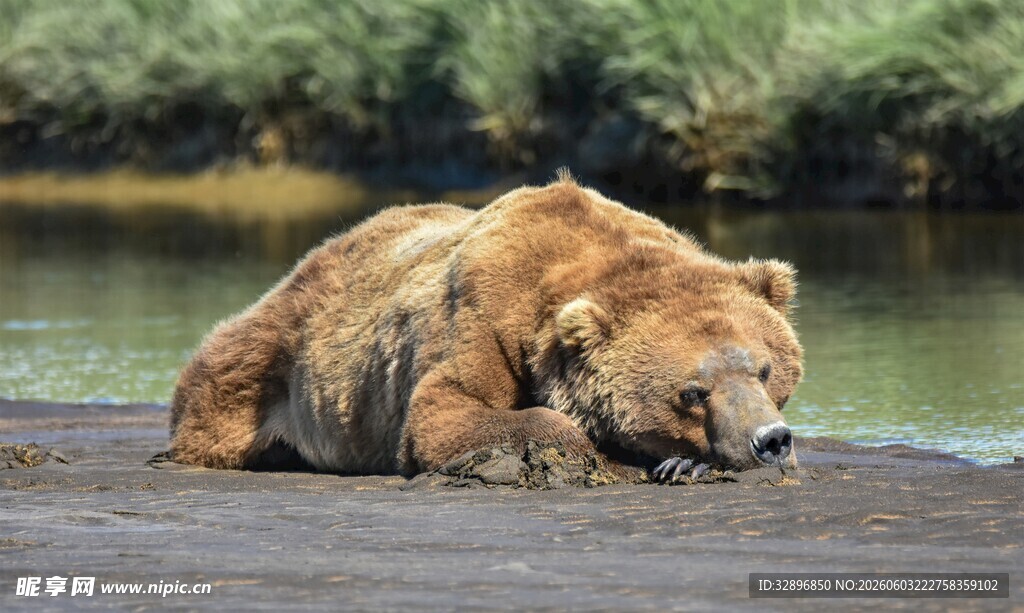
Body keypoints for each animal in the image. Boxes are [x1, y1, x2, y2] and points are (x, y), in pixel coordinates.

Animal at [169, 173, 802, 482]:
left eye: (765, 369)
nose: (771, 440)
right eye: (692, 392)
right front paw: (623, 454)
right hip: (278, 351)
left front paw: (685, 462)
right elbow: (445, 412)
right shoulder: (485, 320)